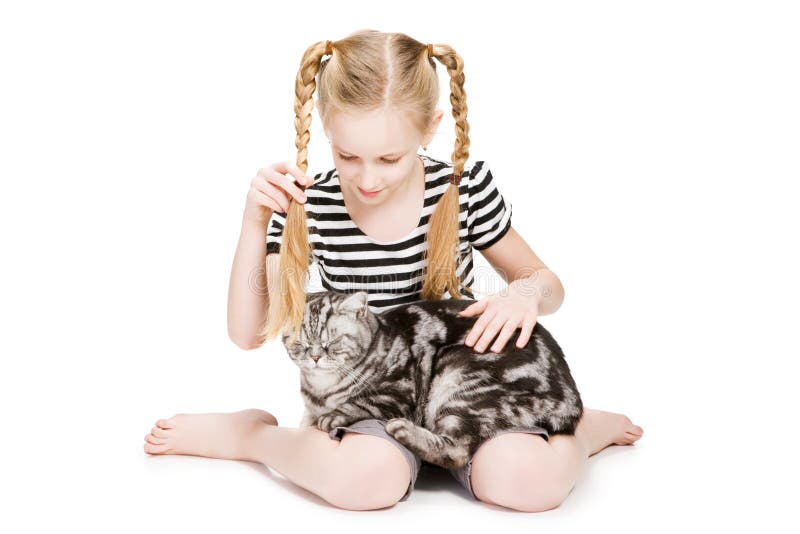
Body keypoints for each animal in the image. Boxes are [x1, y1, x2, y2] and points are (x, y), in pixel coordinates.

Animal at [282, 292, 580, 472]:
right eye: (301, 343)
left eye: (332, 341)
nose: (315, 356)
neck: (323, 389)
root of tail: (571, 398)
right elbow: (305, 419)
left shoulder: (399, 393)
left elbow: (359, 403)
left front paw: (333, 415)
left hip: (460, 380)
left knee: (458, 450)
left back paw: (405, 430)